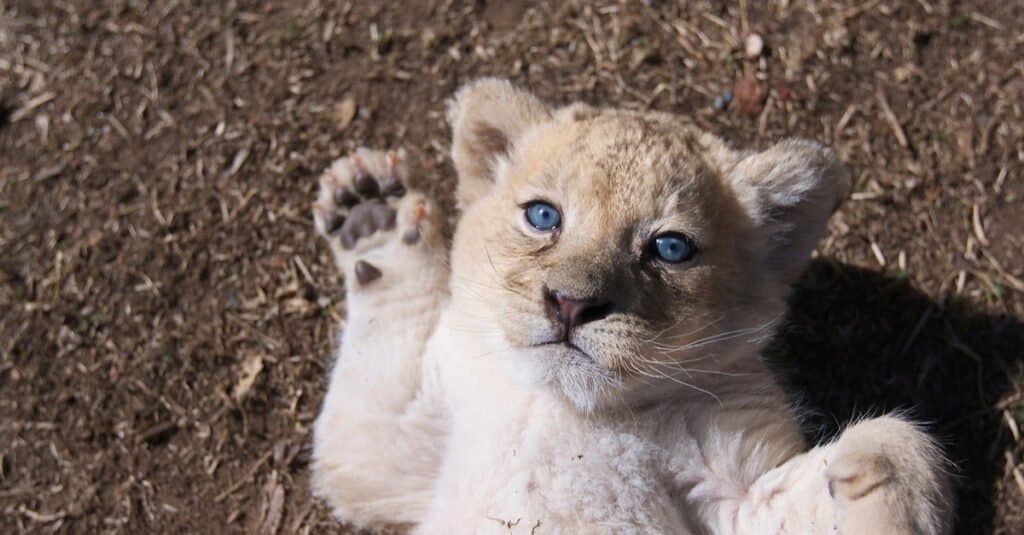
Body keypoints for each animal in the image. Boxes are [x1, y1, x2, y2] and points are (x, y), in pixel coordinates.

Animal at [309, 76, 950, 528]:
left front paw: (875, 468)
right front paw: (371, 215)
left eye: (670, 247)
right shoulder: (397, 453)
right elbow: (363, 426)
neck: (573, 413)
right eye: (543, 215)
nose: (570, 304)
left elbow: (891, 443)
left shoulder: (739, 484)